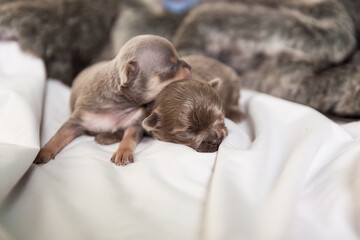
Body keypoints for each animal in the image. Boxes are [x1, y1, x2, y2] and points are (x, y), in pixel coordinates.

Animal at [34, 34, 191, 166]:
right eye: (172, 67)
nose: (189, 66)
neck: (119, 103)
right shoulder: (77, 120)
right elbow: (59, 136)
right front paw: (44, 151)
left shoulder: (135, 124)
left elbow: (128, 139)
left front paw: (122, 152)